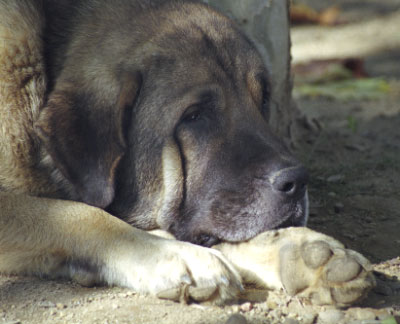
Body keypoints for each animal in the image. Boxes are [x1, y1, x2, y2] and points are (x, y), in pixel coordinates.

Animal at [0, 0, 376, 304]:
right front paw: (172, 255)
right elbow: (81, 214)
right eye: (194, 116)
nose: (297, 181)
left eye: (263, 99)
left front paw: (299, 250)